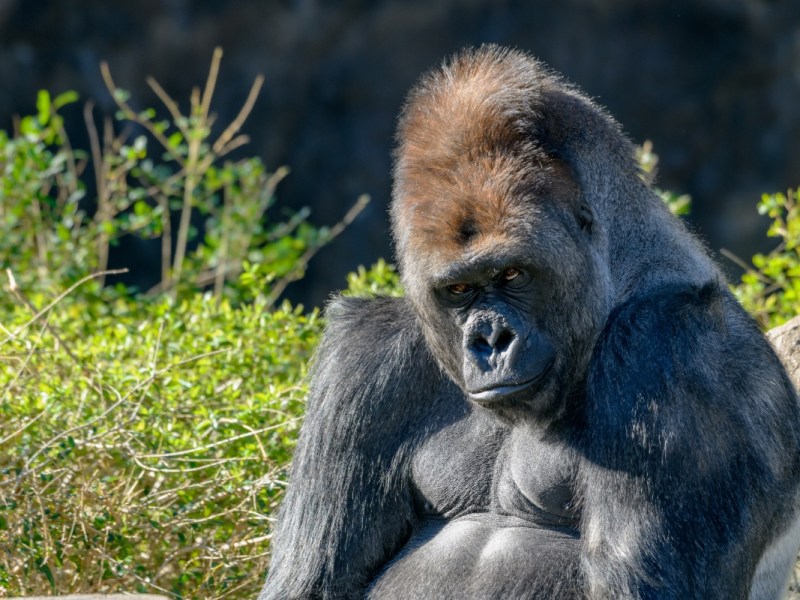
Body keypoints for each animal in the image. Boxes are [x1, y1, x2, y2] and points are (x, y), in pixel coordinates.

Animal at [260, 47, 800, 600]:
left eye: (513, 274)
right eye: (459, 289)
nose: (490, 340)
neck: (622, 280)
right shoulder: (363, 354)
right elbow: (309, 582)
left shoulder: (666, 346)